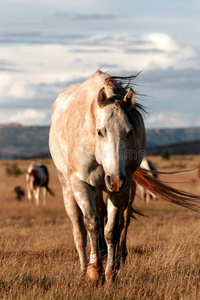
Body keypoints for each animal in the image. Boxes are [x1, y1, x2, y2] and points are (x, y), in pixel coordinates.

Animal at [49, 70, 199, 288]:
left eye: (129, 131)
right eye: (100, 131)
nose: (115, 179)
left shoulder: (122, 187)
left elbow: (112, 229)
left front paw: (110, 275)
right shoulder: (80, 183)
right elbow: (91, 224)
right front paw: (95, 273)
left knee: (113, 219)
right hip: (68, 187)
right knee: (79, 229)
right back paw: (85, 270)